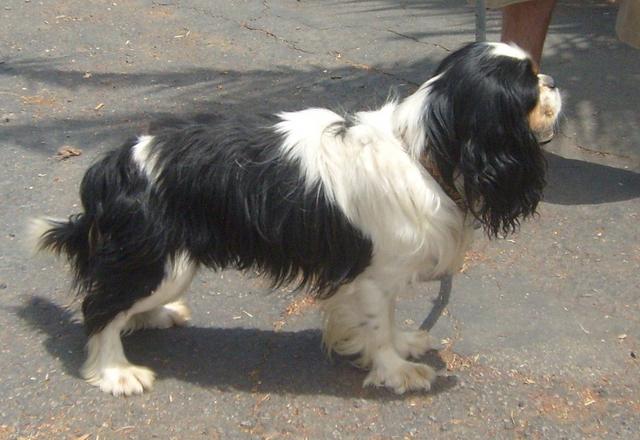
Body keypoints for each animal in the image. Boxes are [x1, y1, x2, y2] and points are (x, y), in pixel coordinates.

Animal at [30, 43, 560, 396]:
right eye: (530, 86)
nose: (554, 83)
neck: (421, 148)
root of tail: (115, 164)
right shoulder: (374, 275)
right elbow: (378, 326)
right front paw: (395, 370)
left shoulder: (369, 276)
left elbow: (382, 323)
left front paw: (401, 344)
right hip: (162, 260)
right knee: (99, 308)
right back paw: (115, 372)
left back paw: (154, 317)